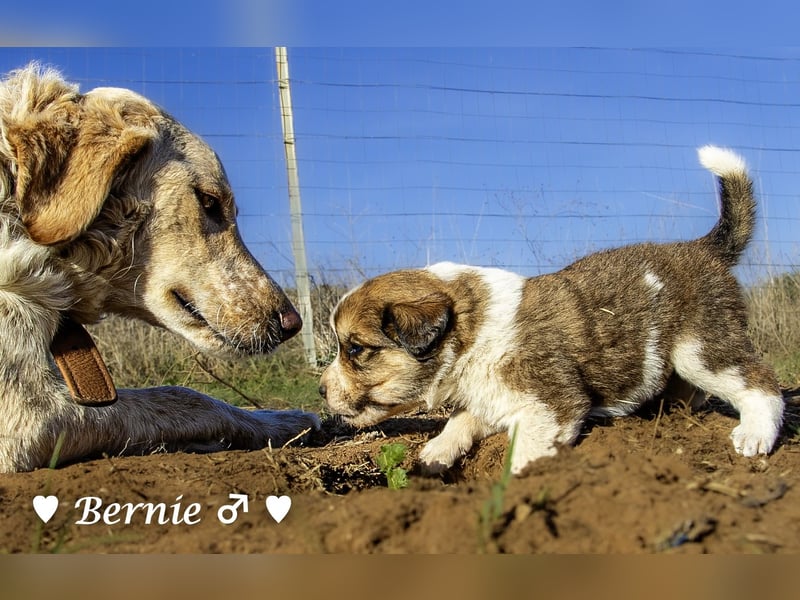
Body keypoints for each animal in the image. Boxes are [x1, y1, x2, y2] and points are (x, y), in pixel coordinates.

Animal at [318, 144, 780, 474]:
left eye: (355, 349)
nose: (320, 390)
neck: (471, 336)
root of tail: (704, 249)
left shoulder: (549, 405)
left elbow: (523, 453)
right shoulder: (493, 400)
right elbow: (461, 420)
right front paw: (435, 453)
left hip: (701, 346)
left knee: (758, 384)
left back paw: (754, 434)